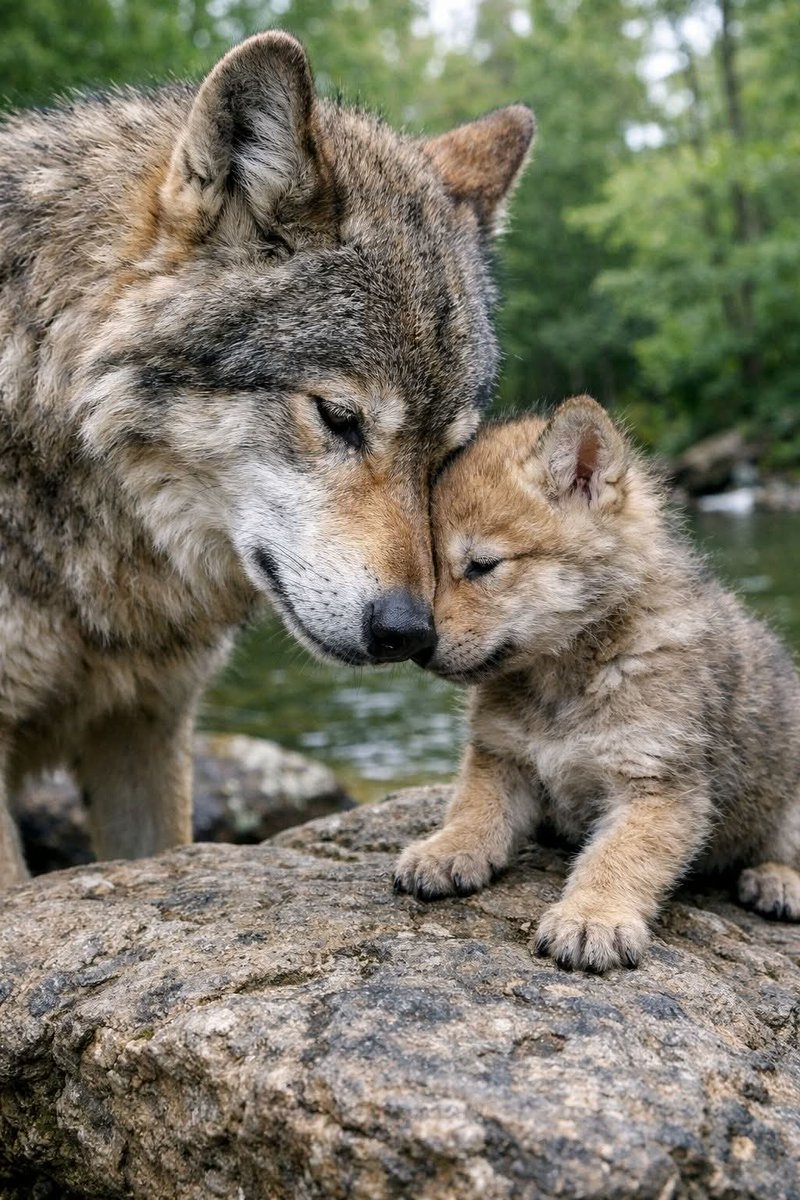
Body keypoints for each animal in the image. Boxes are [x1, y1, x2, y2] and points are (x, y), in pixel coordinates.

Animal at [394, 396, 800, 971]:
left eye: (482, 565)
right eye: (429, 567)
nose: (418, 645)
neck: (566, 678)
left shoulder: (655, 785)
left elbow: (617, 858)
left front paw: (593, 918)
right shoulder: (501, 756)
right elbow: (474, 809)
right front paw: (446, 848)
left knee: (783, 846)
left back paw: (777, 879)